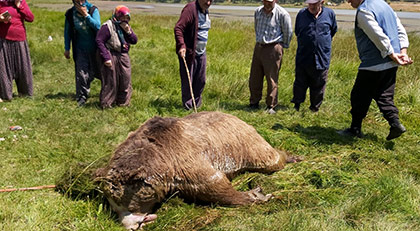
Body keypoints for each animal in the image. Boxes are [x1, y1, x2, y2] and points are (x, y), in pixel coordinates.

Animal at [96, 111, 290, 229]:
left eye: (125, 202)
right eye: (112, 205)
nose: (132, 225)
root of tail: (238, 118)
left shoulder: (186, 161)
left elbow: (216, 184)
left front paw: (255, 194)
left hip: (249, 144)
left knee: (271, 160)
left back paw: (289, 156)